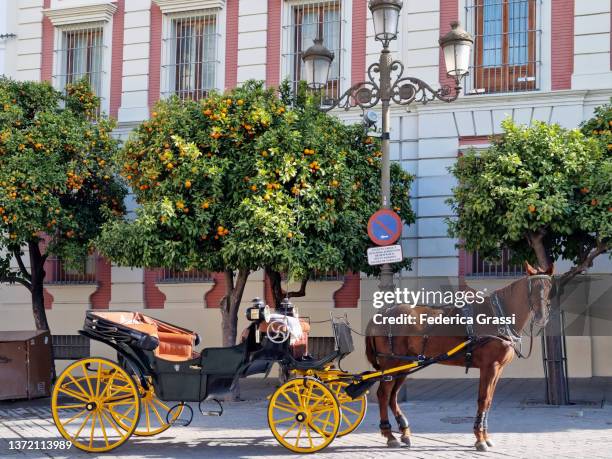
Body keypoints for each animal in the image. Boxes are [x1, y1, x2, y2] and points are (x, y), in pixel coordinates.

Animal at [366, 266, 556, 452]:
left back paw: (404, 432)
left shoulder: (498, 369)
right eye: (533, 287)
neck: (497, 315)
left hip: (403, 365)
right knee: (383, 394)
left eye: (548, 287)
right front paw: (480, 438)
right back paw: (390, 435)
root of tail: (381, 314)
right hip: (391, 363)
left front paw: (485, 436)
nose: (542, 317)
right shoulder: (490, 367)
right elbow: (483, 400)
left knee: (392, 396)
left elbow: (489, 401)